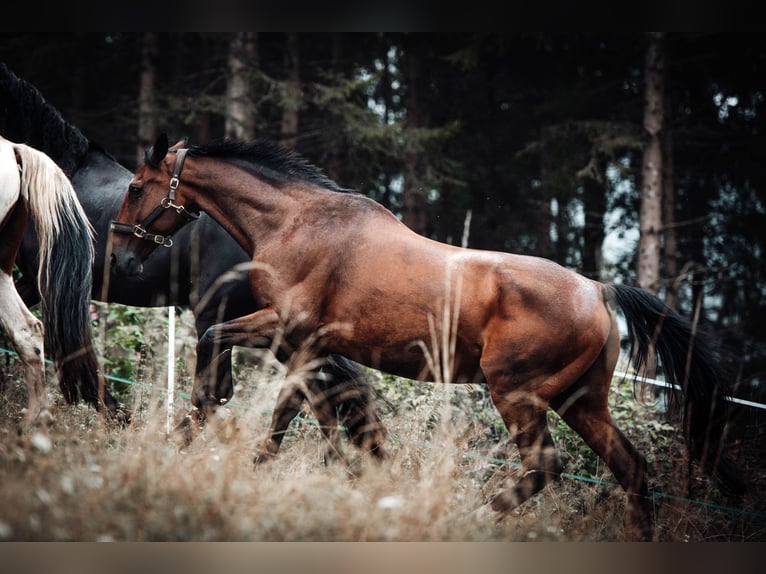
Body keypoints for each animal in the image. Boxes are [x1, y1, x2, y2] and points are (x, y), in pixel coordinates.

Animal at [109, 132, 745, 541]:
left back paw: (473, 518)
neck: (296, 222)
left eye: (138, 187)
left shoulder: (294, 332)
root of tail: (598, 290)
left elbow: (234, 357)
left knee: (546, 467)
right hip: (580, 400)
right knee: (632, 470)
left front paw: (207, 422)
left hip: (517, 394)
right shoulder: (308, 348)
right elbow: (313, 411)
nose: (117, 255)